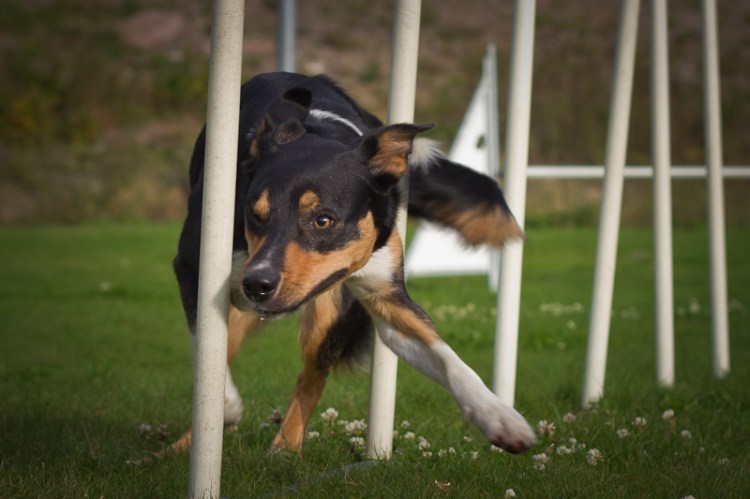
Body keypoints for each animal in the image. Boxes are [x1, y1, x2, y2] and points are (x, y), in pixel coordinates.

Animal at [169, 72, 536, 457]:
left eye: (323, 220)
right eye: (254, 216)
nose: (257, 285)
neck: (319, 128)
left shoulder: (385, 293)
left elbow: (448, 357)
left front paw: (501, 419)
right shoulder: (194, 269)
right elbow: (211, 366)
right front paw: (224, 411)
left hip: (331, 311)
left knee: (311, 376)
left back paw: (284, 451)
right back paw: (182, 447)